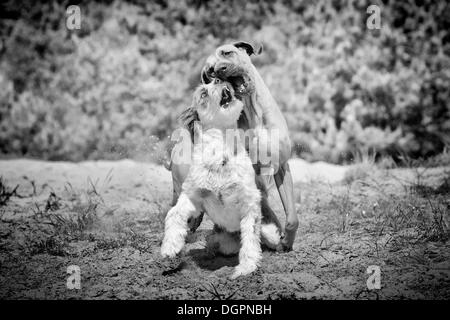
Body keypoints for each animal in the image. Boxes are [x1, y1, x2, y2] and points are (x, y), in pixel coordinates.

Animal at [162, 79, 280, 278]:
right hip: (222, 238)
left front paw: (246, 268)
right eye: (203, 93)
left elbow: (250, 239)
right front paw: (169, 248)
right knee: (216, 242)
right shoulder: (193, 196)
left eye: (214, 81)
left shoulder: (249, 202)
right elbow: (174, 214)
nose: (218, 79)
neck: (220, 155)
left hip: (270, 232)